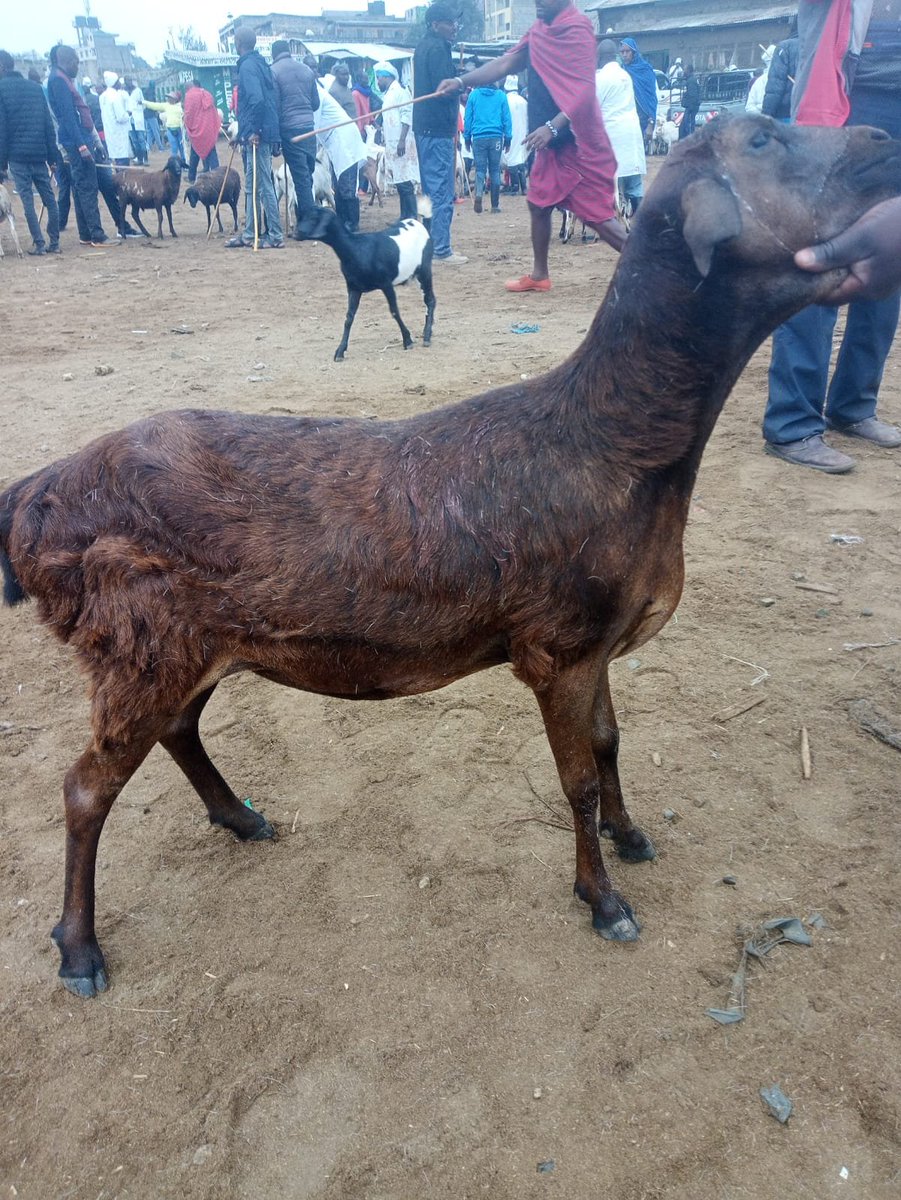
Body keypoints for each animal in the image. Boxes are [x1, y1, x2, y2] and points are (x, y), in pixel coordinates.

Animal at [296, 203, 435, 361]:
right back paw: (427, 331)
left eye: (314, 218)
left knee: (430, 299)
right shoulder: (353, 287)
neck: (357, 249)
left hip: (424, 269)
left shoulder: (386, 283)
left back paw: (427, 336)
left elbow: (394, 311)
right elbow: (349, 318)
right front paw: (340, 351)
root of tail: (420, 224)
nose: (295, 233)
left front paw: (407, 340)